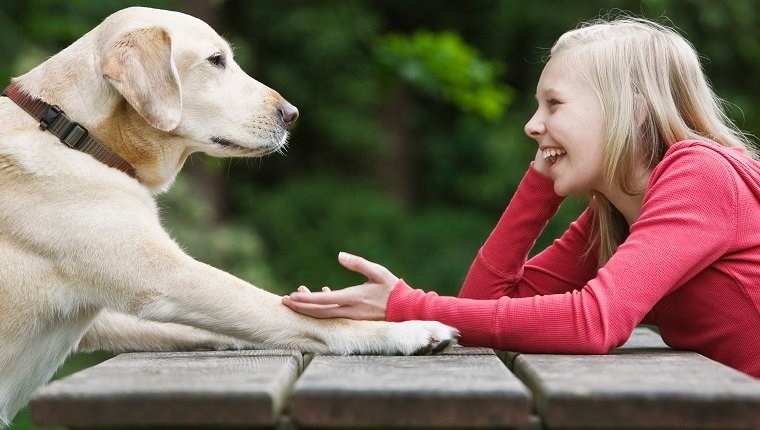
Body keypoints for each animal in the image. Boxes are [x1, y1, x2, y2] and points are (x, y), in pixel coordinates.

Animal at [0, 7, 458, 426]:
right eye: (216, 60)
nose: (292, 114)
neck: (70, 130)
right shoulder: (168, 277)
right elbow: (282, 309)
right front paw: (405, 330)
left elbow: (219, 325)